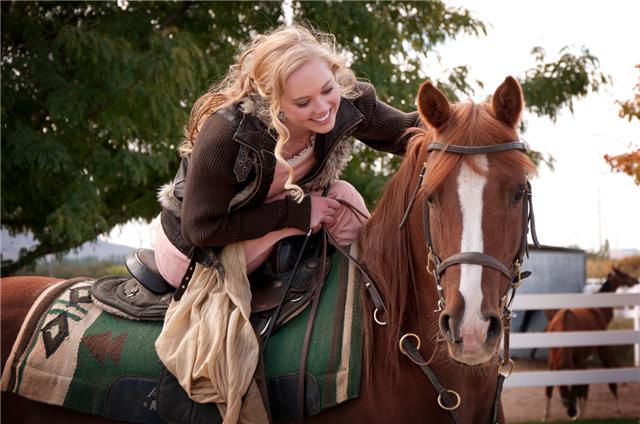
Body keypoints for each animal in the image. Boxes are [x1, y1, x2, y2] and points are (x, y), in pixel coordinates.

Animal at [544, 268, 640, 420]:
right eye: (622, 274)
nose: (635, 280)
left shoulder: (580, 362)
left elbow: (583, 385)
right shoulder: (553, 361)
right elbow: (549, 386)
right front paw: (546, 415)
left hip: (600, 351)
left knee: (608, 381)